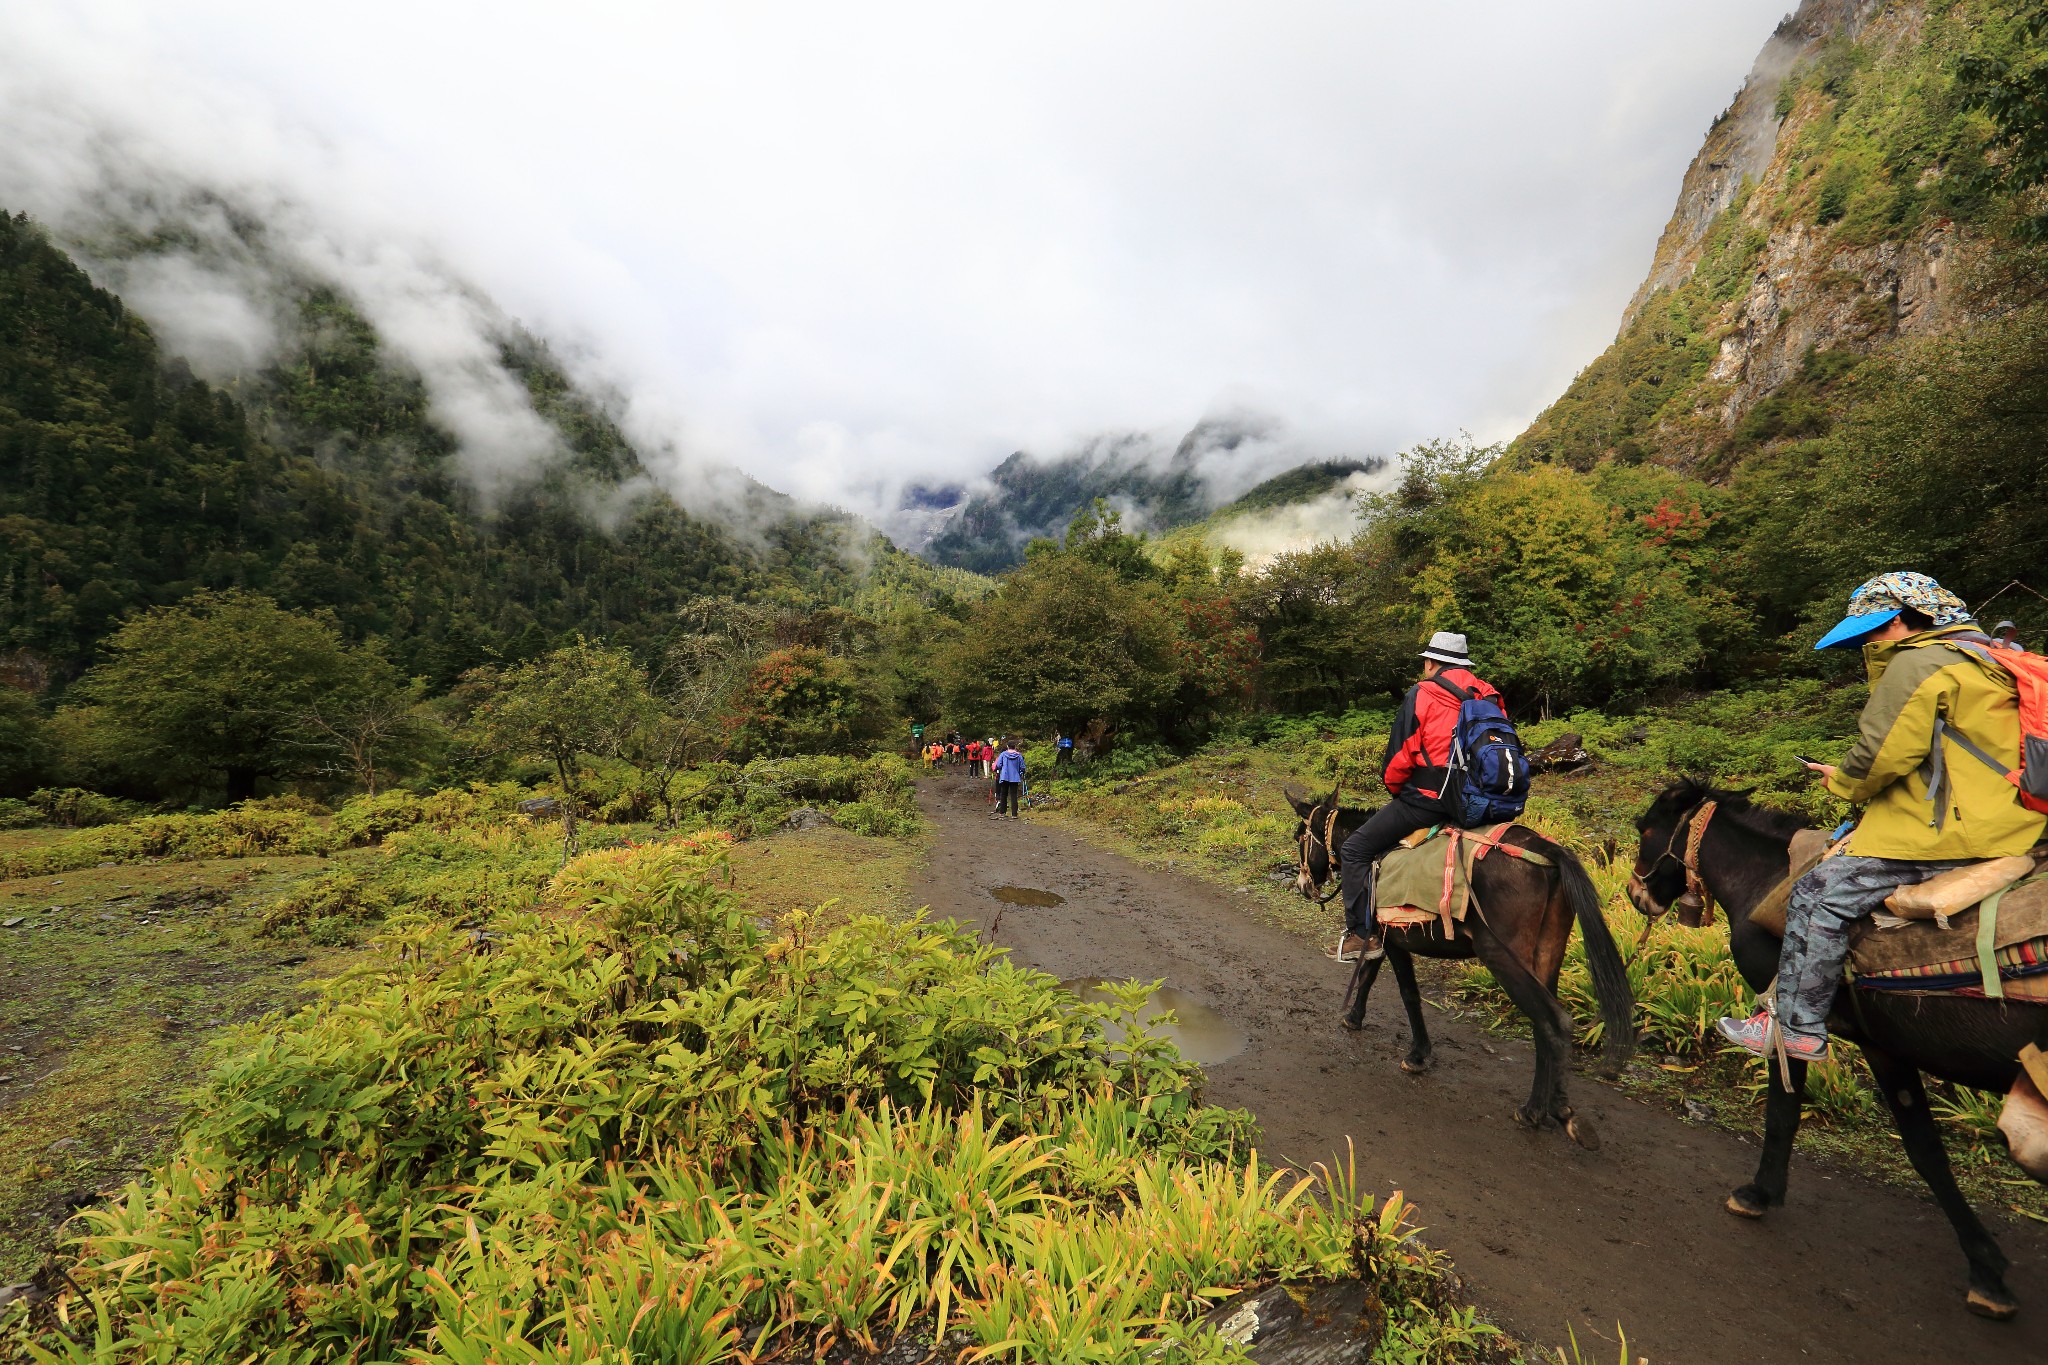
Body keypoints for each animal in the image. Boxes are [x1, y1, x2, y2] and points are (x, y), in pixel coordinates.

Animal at [1277, 785, 1630, 1146]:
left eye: (1298, 836)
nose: (1303, 885)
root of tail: (1545, 851)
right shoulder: (1383, 936)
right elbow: (1368, 975)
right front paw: (1354, 1017)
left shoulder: (1393, 940)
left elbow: (1406, 993)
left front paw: (1418, 1054)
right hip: (1548, 954)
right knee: (1543, 1020)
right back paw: (1550, 1108)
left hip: (1501, 955)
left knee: (1554, 1020)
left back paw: (1541, 1110)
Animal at [1630, 785, 2048, 1317]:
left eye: (1645, 830)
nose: (1633, 894)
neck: (1767, 875)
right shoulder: (1884, 1046)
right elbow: (1926, 1151)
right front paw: (1986, 1267)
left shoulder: (1791, 1020)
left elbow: (1782, 1112)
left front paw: (1759, 1193)